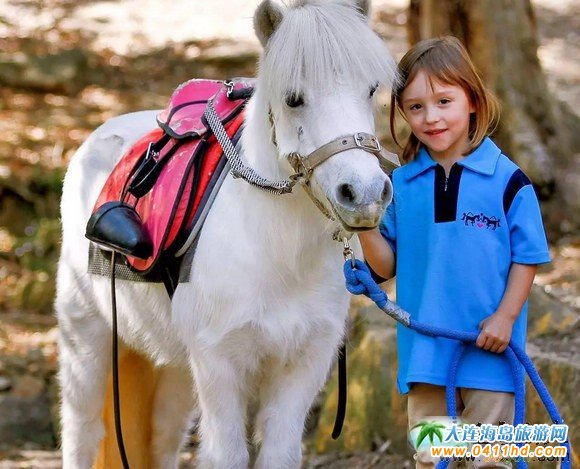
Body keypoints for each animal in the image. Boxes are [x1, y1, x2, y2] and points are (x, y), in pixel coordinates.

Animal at [55, 0, 397, 467]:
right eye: (293, 98)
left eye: (371, 89)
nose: (364, 195)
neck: (277, 255)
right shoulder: (220, 364)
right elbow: (227, 455)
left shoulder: (304, 363)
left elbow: (279, 453)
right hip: (85, 338)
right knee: (83, 431)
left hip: (172, 365)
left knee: (161, 440)